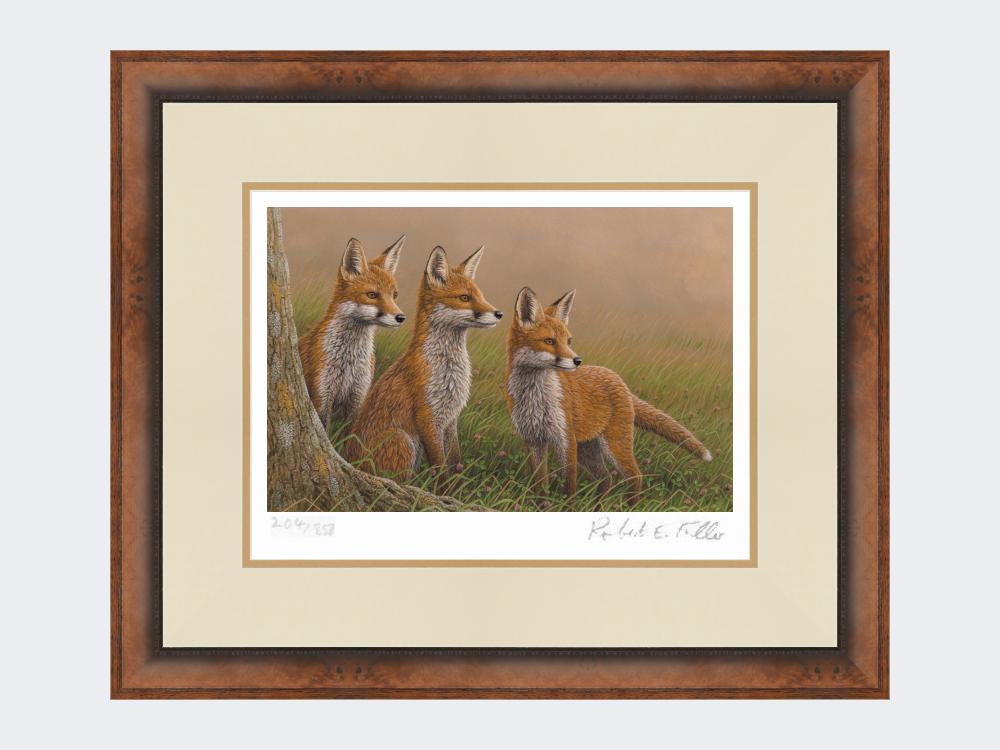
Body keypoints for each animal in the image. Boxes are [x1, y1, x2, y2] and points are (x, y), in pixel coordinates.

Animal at [298, 235, 406, 430]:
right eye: (372, 295)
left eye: (394, 295)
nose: (401, 317)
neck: (349, 361)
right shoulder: (322, 395)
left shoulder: (357, 397)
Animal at [344, 245, 502, 481]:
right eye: (464, 297)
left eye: (481, 296)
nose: (499, 313)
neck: (447, 369)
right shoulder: (427, 416)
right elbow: (440, 467)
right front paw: (443, 489)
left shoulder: (450, 419)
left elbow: (455, 462)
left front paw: (455, 487)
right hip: (400, 438)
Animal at [505, 286, 712, 501]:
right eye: (549, 341)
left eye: (569, 341)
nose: (577, 361)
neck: (535, 397)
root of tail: (618, 379)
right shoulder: (533, 439)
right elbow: (539, 484)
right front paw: (542, 504)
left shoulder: (565, 439)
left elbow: (569, 485)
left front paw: (567, 505)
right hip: (588, 449)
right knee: (606, 479)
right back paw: (598, 505)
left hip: (614, 444)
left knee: (635, 477)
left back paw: (629, 505)